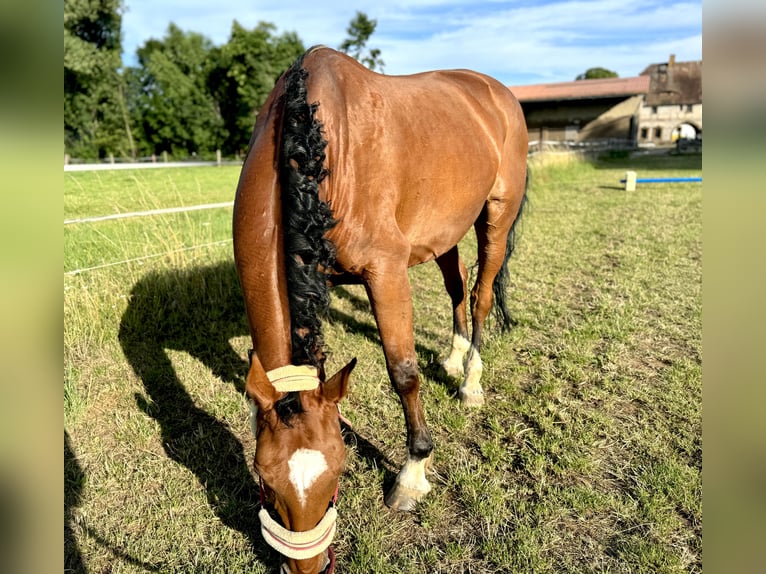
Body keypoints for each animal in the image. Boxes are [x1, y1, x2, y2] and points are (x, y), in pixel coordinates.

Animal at [234, 47, 532, 572]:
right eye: (264, 478)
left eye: (339, 471)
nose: (309, 567)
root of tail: (497, 93)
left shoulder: (386, 272)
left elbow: (403, 372)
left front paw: (412, 475)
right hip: (444, 230)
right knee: (457, 286)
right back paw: (453, 358)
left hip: (496, 213)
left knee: (480, 296)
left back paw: (470, 381)